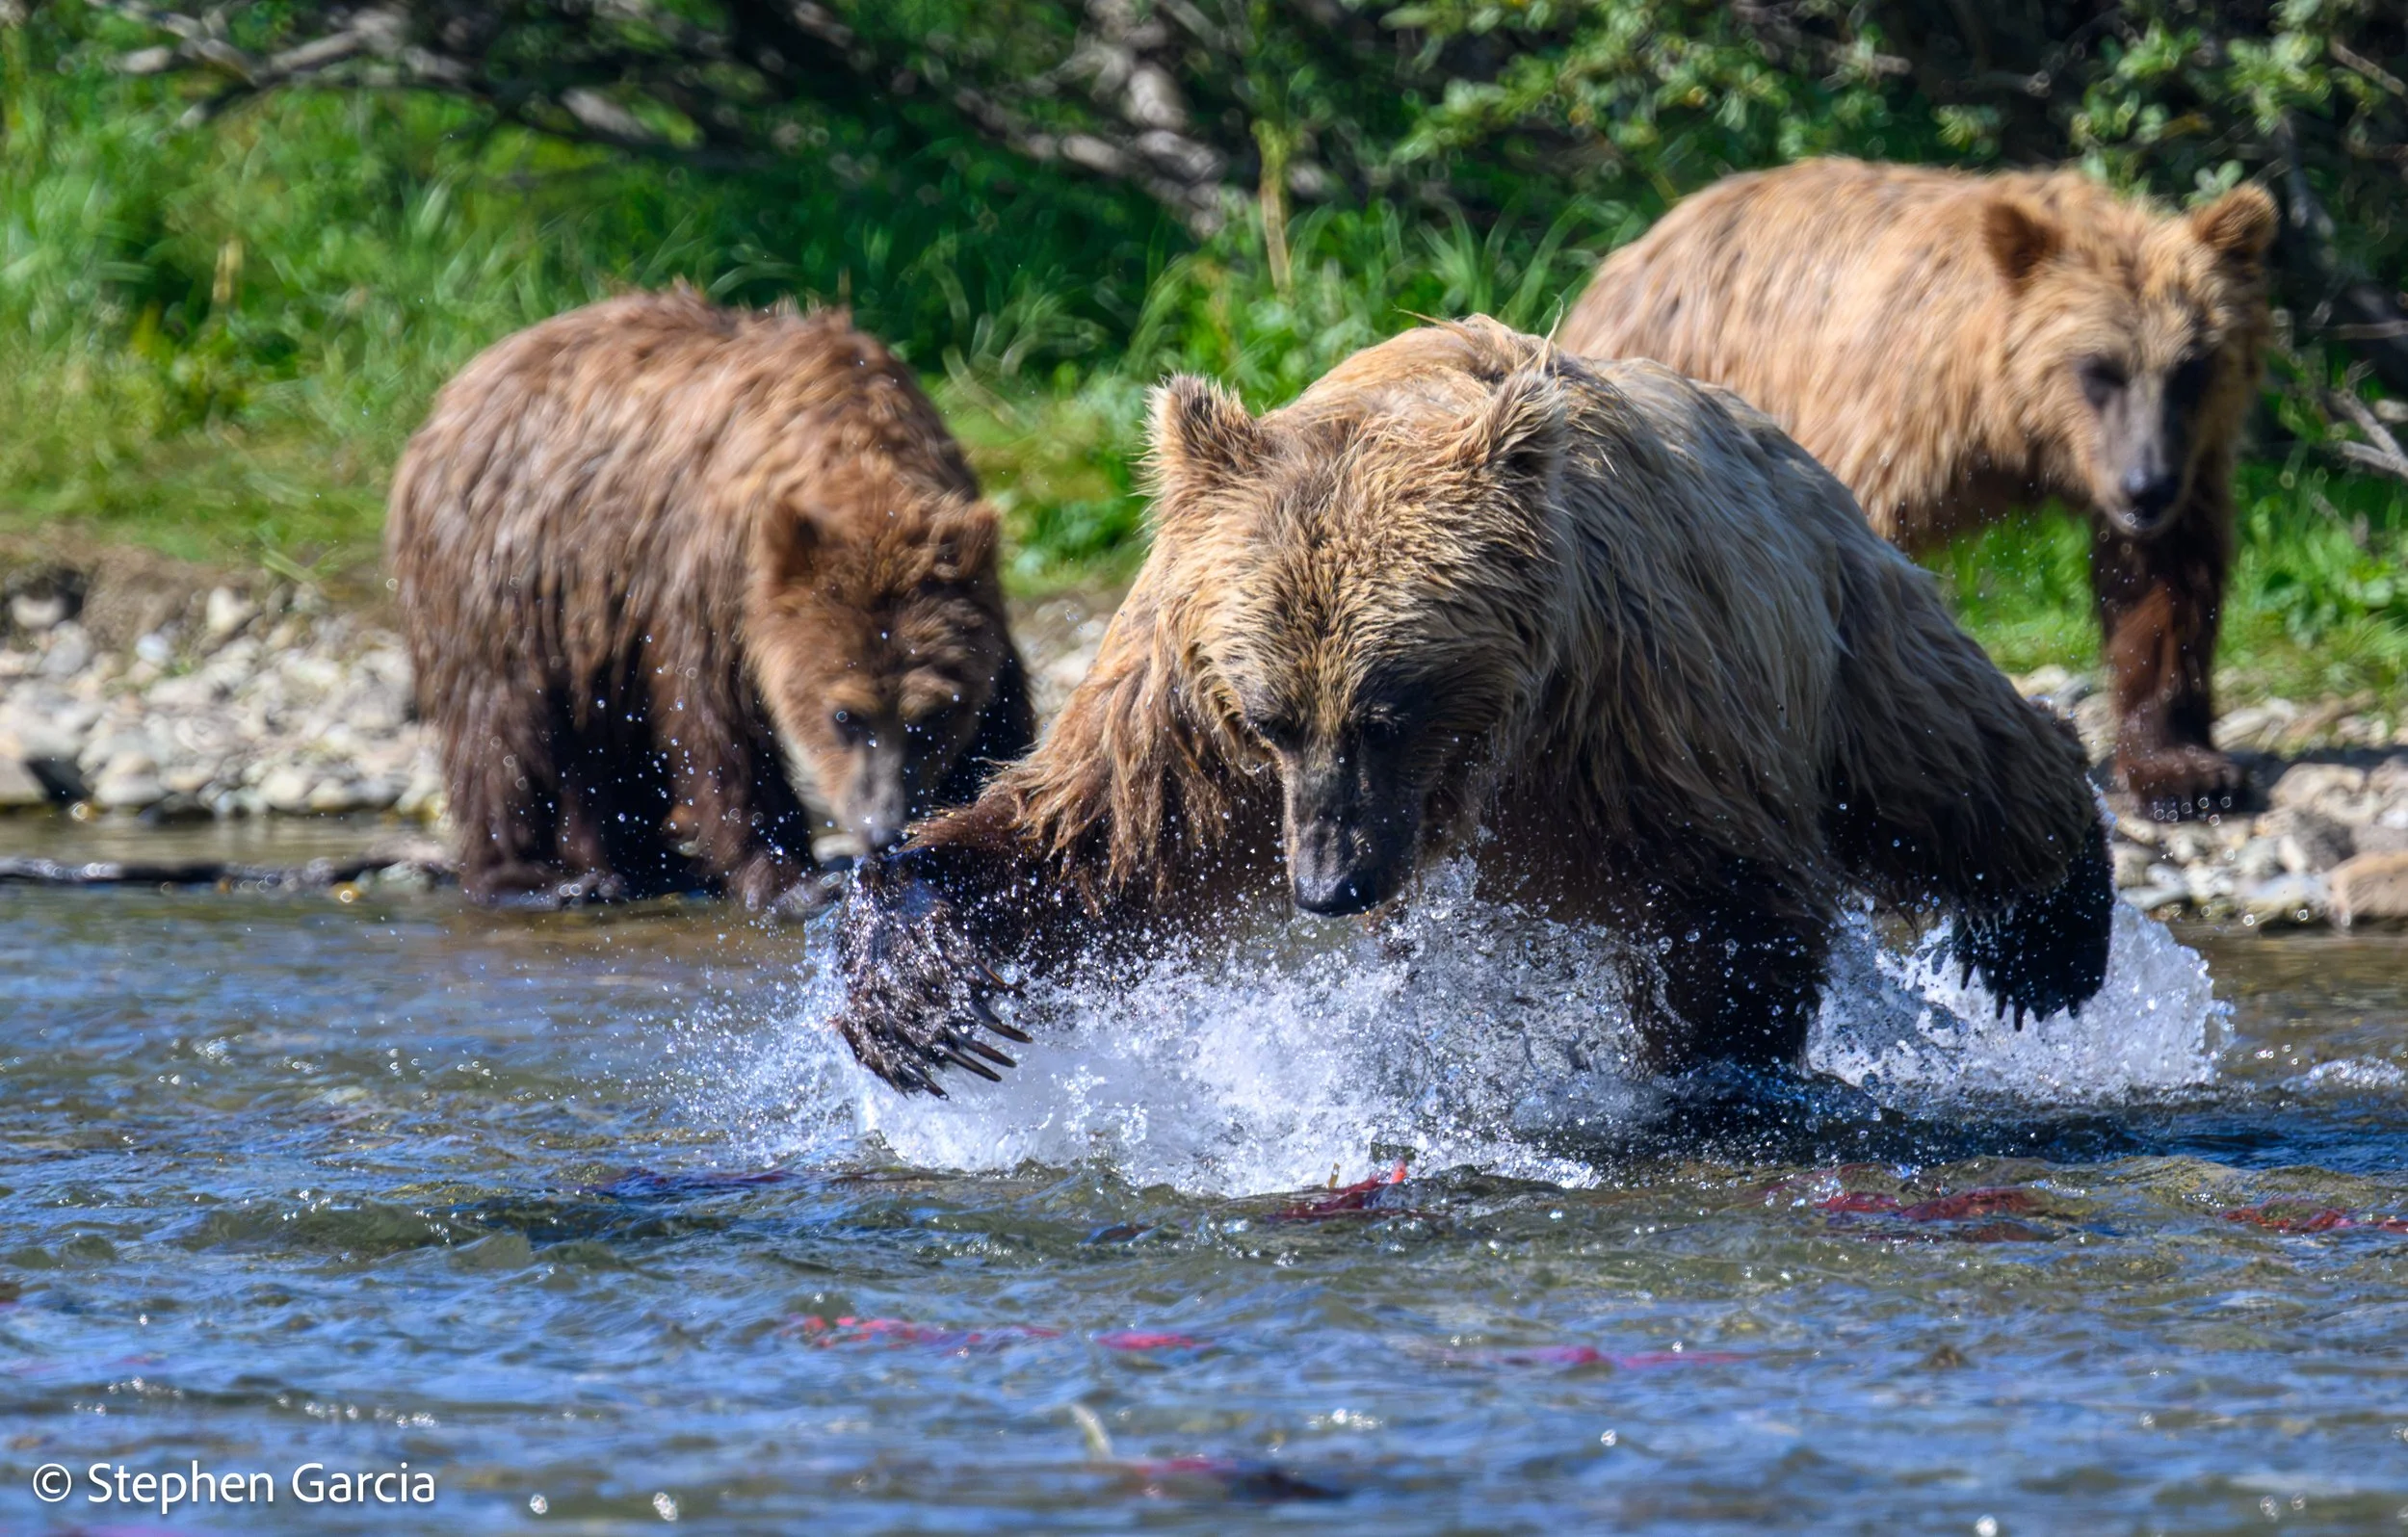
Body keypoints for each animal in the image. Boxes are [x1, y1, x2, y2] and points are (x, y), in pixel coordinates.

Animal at [387, 287, 1034, 908]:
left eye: (934, 714)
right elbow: (715, 726)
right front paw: (790, 878)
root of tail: (455, 391)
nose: (882, 828)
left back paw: (640, 861)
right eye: (844, 715)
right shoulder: (709, 580)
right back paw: (538, 876)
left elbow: (1002, 718)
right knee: (505, 721)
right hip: (508, 569)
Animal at [827, 317, 2113, 1095]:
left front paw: (1712, 1072)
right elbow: (1092, 838)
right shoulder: (1183, 701)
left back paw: (2049, 932)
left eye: (1388, 711)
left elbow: (1726, 898)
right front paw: (916, 998)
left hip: (1831, 619)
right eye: (1271, 718)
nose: (1328, 884)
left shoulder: (1630, 706)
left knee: (1944, 766)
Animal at [1557, 158, 2279, 820]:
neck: (2014, 426)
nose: (2145, 489)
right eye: (2098, 369)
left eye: (2192, 367)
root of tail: (1631, 253)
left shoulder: (2190, 456)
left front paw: (2185, 771)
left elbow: (2165, 587)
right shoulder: (1894, 414)